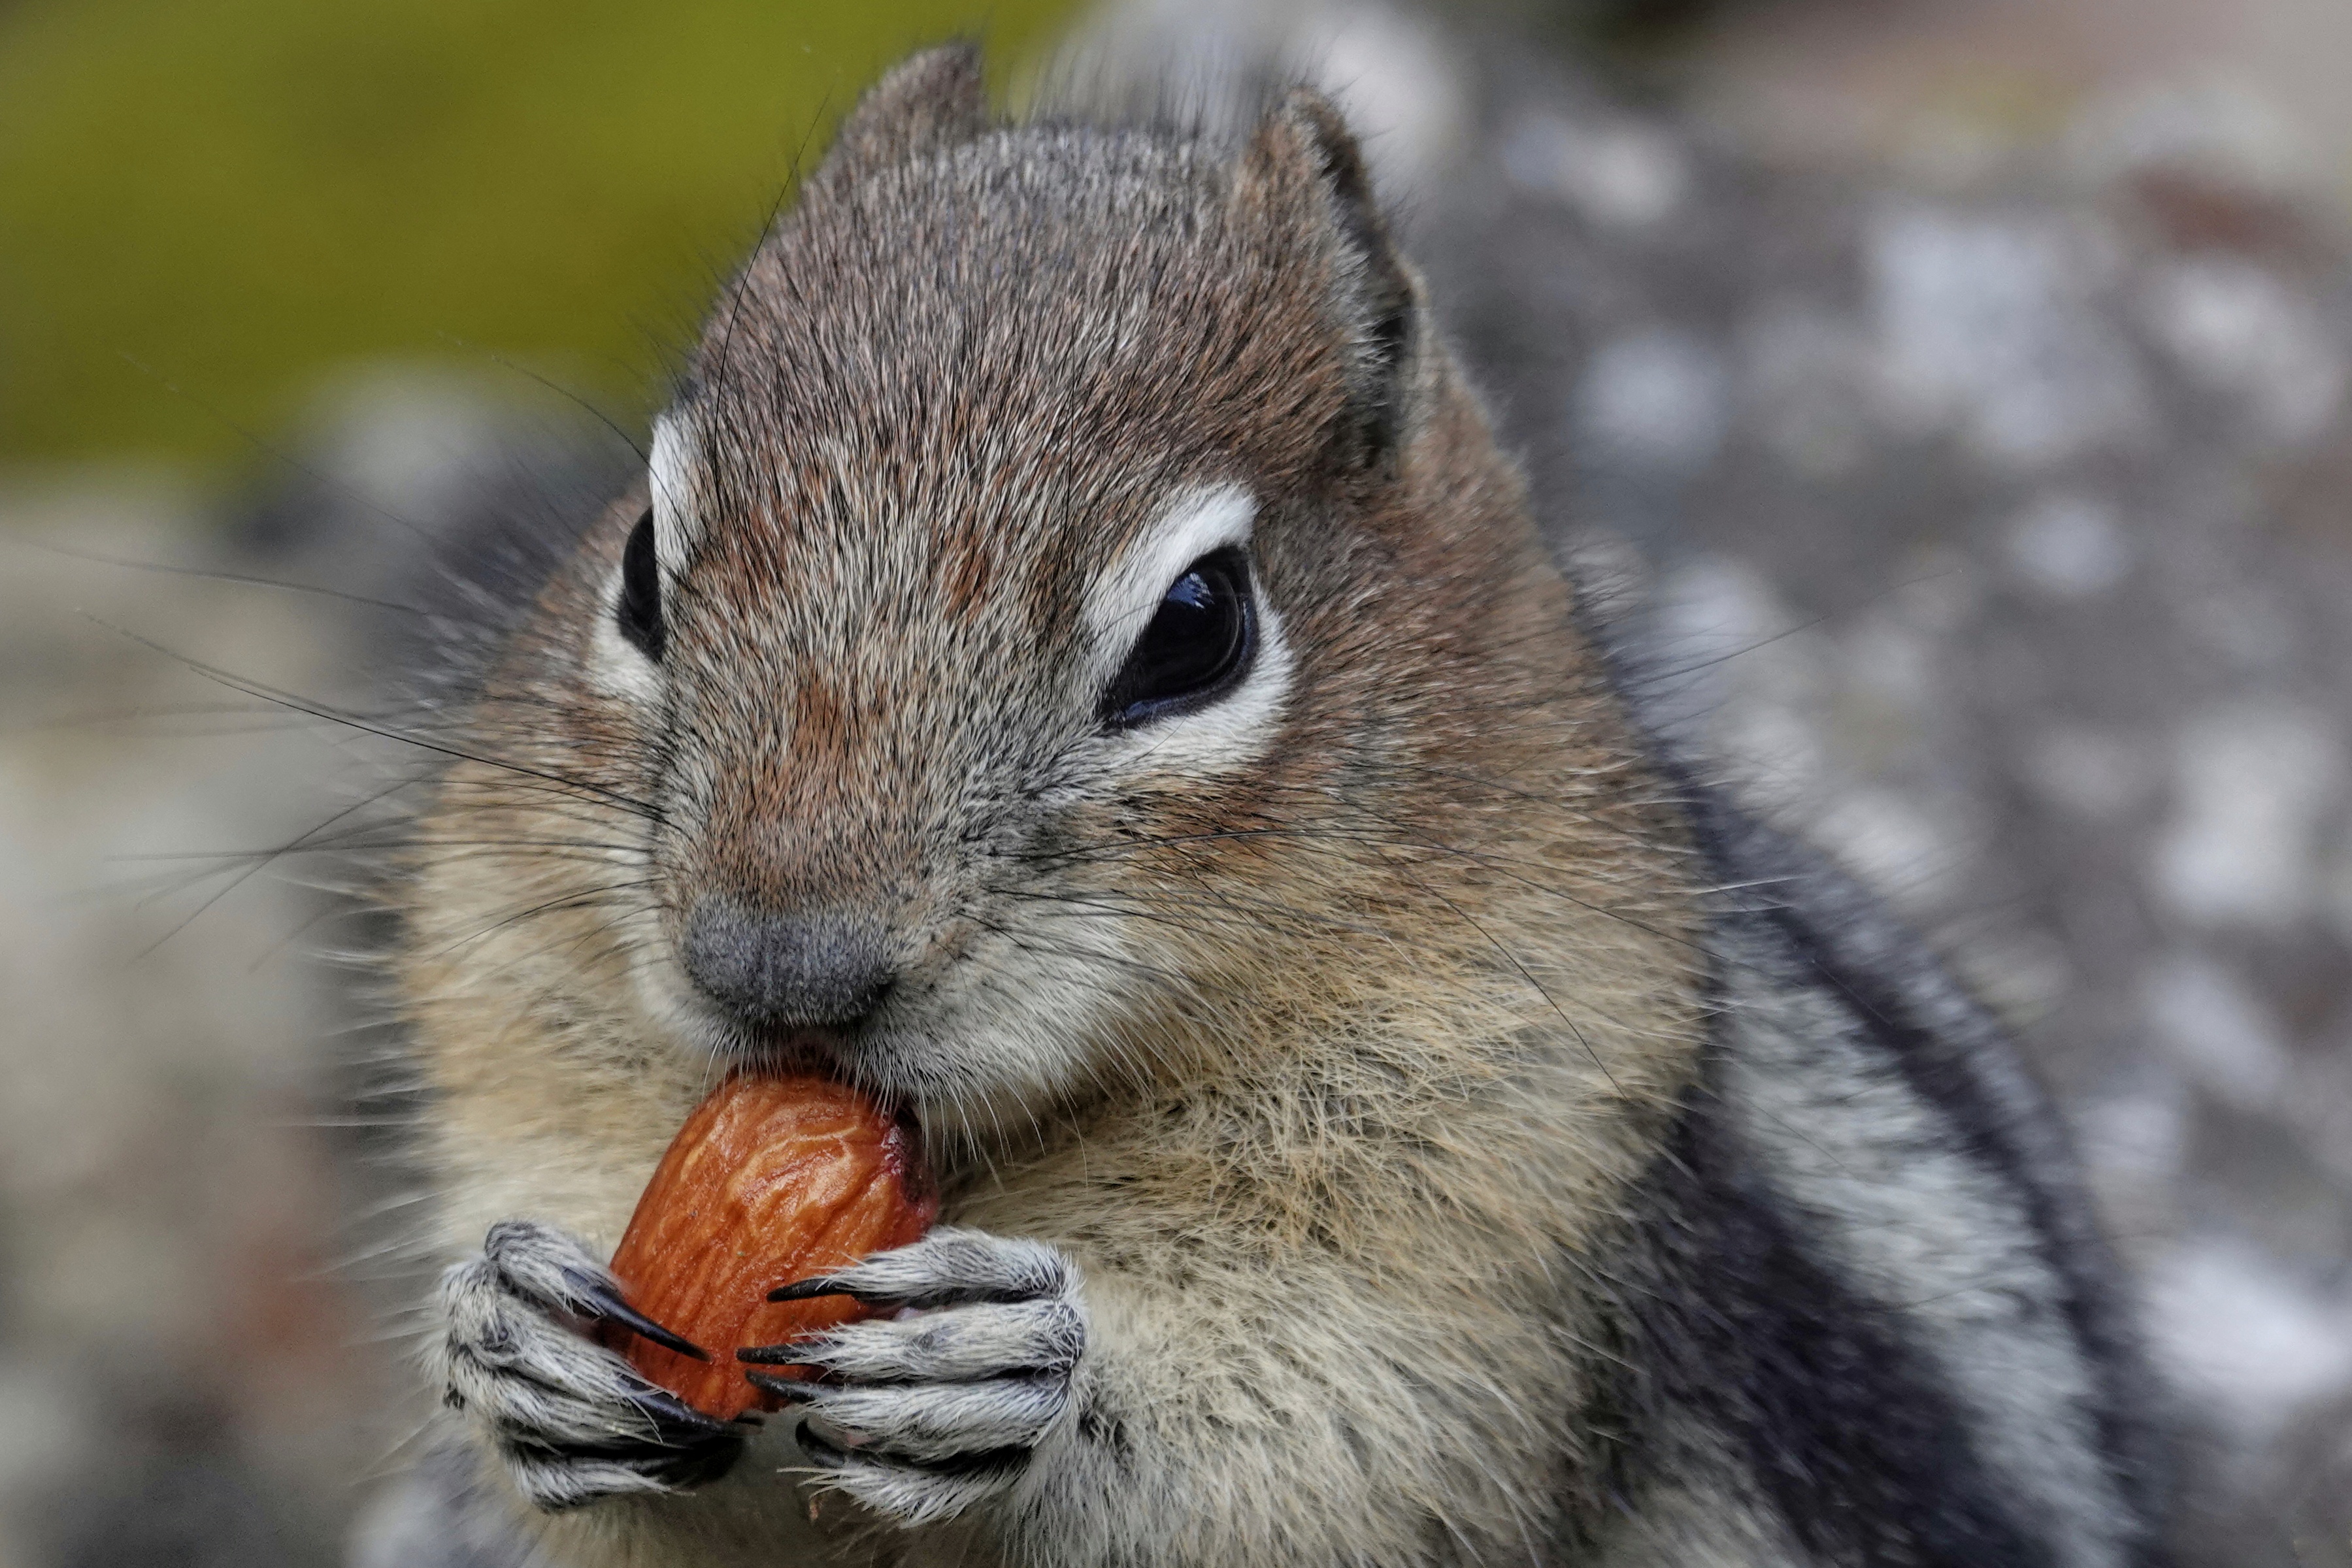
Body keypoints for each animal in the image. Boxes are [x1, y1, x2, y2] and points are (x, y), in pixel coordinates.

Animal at [370, 44, 2172, 1568]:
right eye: (638, 570)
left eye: (1196, 626)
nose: (778, 971)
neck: (1008, 1138)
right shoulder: (531, 1047)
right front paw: (511, 1338)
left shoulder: (1485, 1220)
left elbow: (1303, 1452)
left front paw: (1031, 1375)